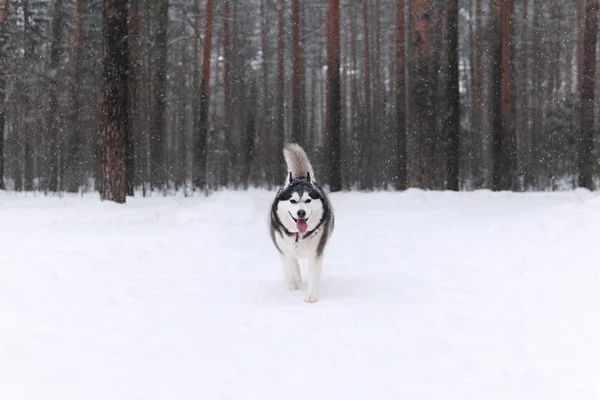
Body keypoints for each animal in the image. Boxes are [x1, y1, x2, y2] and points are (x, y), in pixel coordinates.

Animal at [270, 144, 336, 304]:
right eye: (293, 200)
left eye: (308, 200)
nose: (301, 213)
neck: (298, 235)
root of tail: (300, 177)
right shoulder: (284, 251)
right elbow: (290, 269)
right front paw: (293, 288)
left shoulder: (316, 252)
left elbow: (313, 274)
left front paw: (311, 296)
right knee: (294, 264)